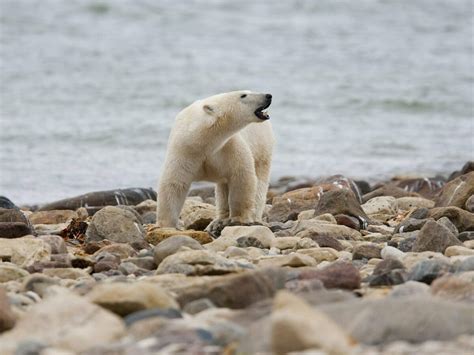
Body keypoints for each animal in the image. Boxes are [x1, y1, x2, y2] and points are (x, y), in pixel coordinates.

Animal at [156, 90, 274, 229]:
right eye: (243, 95)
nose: (268, 95)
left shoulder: (228, 147)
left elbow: (241, 177)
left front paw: (239, 218)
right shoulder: (184, 150)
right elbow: (174, 183)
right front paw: (166, 224)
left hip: (262, 147)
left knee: (260, 181)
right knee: (223, 187)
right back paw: (219, 220)